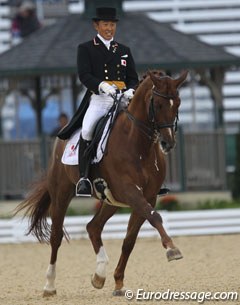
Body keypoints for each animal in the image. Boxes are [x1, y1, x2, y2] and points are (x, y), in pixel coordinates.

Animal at [15, 70, 188, 296]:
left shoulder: (147, 196)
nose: (168, 143)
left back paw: (99, 275)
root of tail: (61, 139)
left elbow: (130, 240)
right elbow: (155, 217)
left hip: (111, 200)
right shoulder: (131, 191)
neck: (138, 145)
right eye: (157, 104)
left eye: (178, 103)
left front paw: (119, 283)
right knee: (56, 236)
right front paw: (172, 249)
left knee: (93, 227)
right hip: (61, 192)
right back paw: (49, 286)